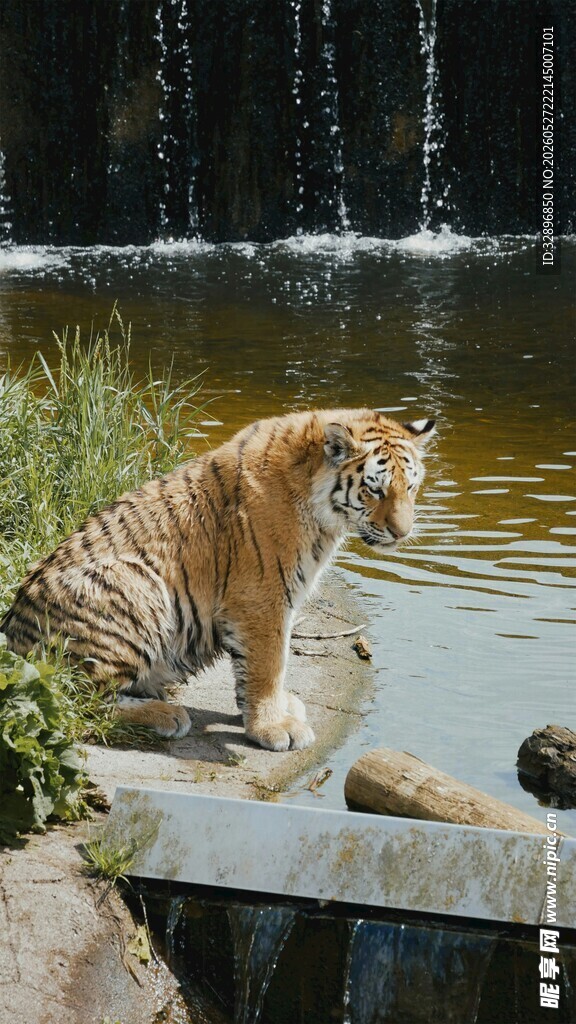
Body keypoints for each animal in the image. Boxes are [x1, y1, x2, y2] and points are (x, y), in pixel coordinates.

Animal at [0, 409, 435, 751]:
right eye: (374, 489)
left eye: (411, 487)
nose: (402, 533)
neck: (322, 511)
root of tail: (12, 638)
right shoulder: (262, 596)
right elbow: (269, 663)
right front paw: (273, 727)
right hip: (133, 582)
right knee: (75, 701)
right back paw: (166, 714)